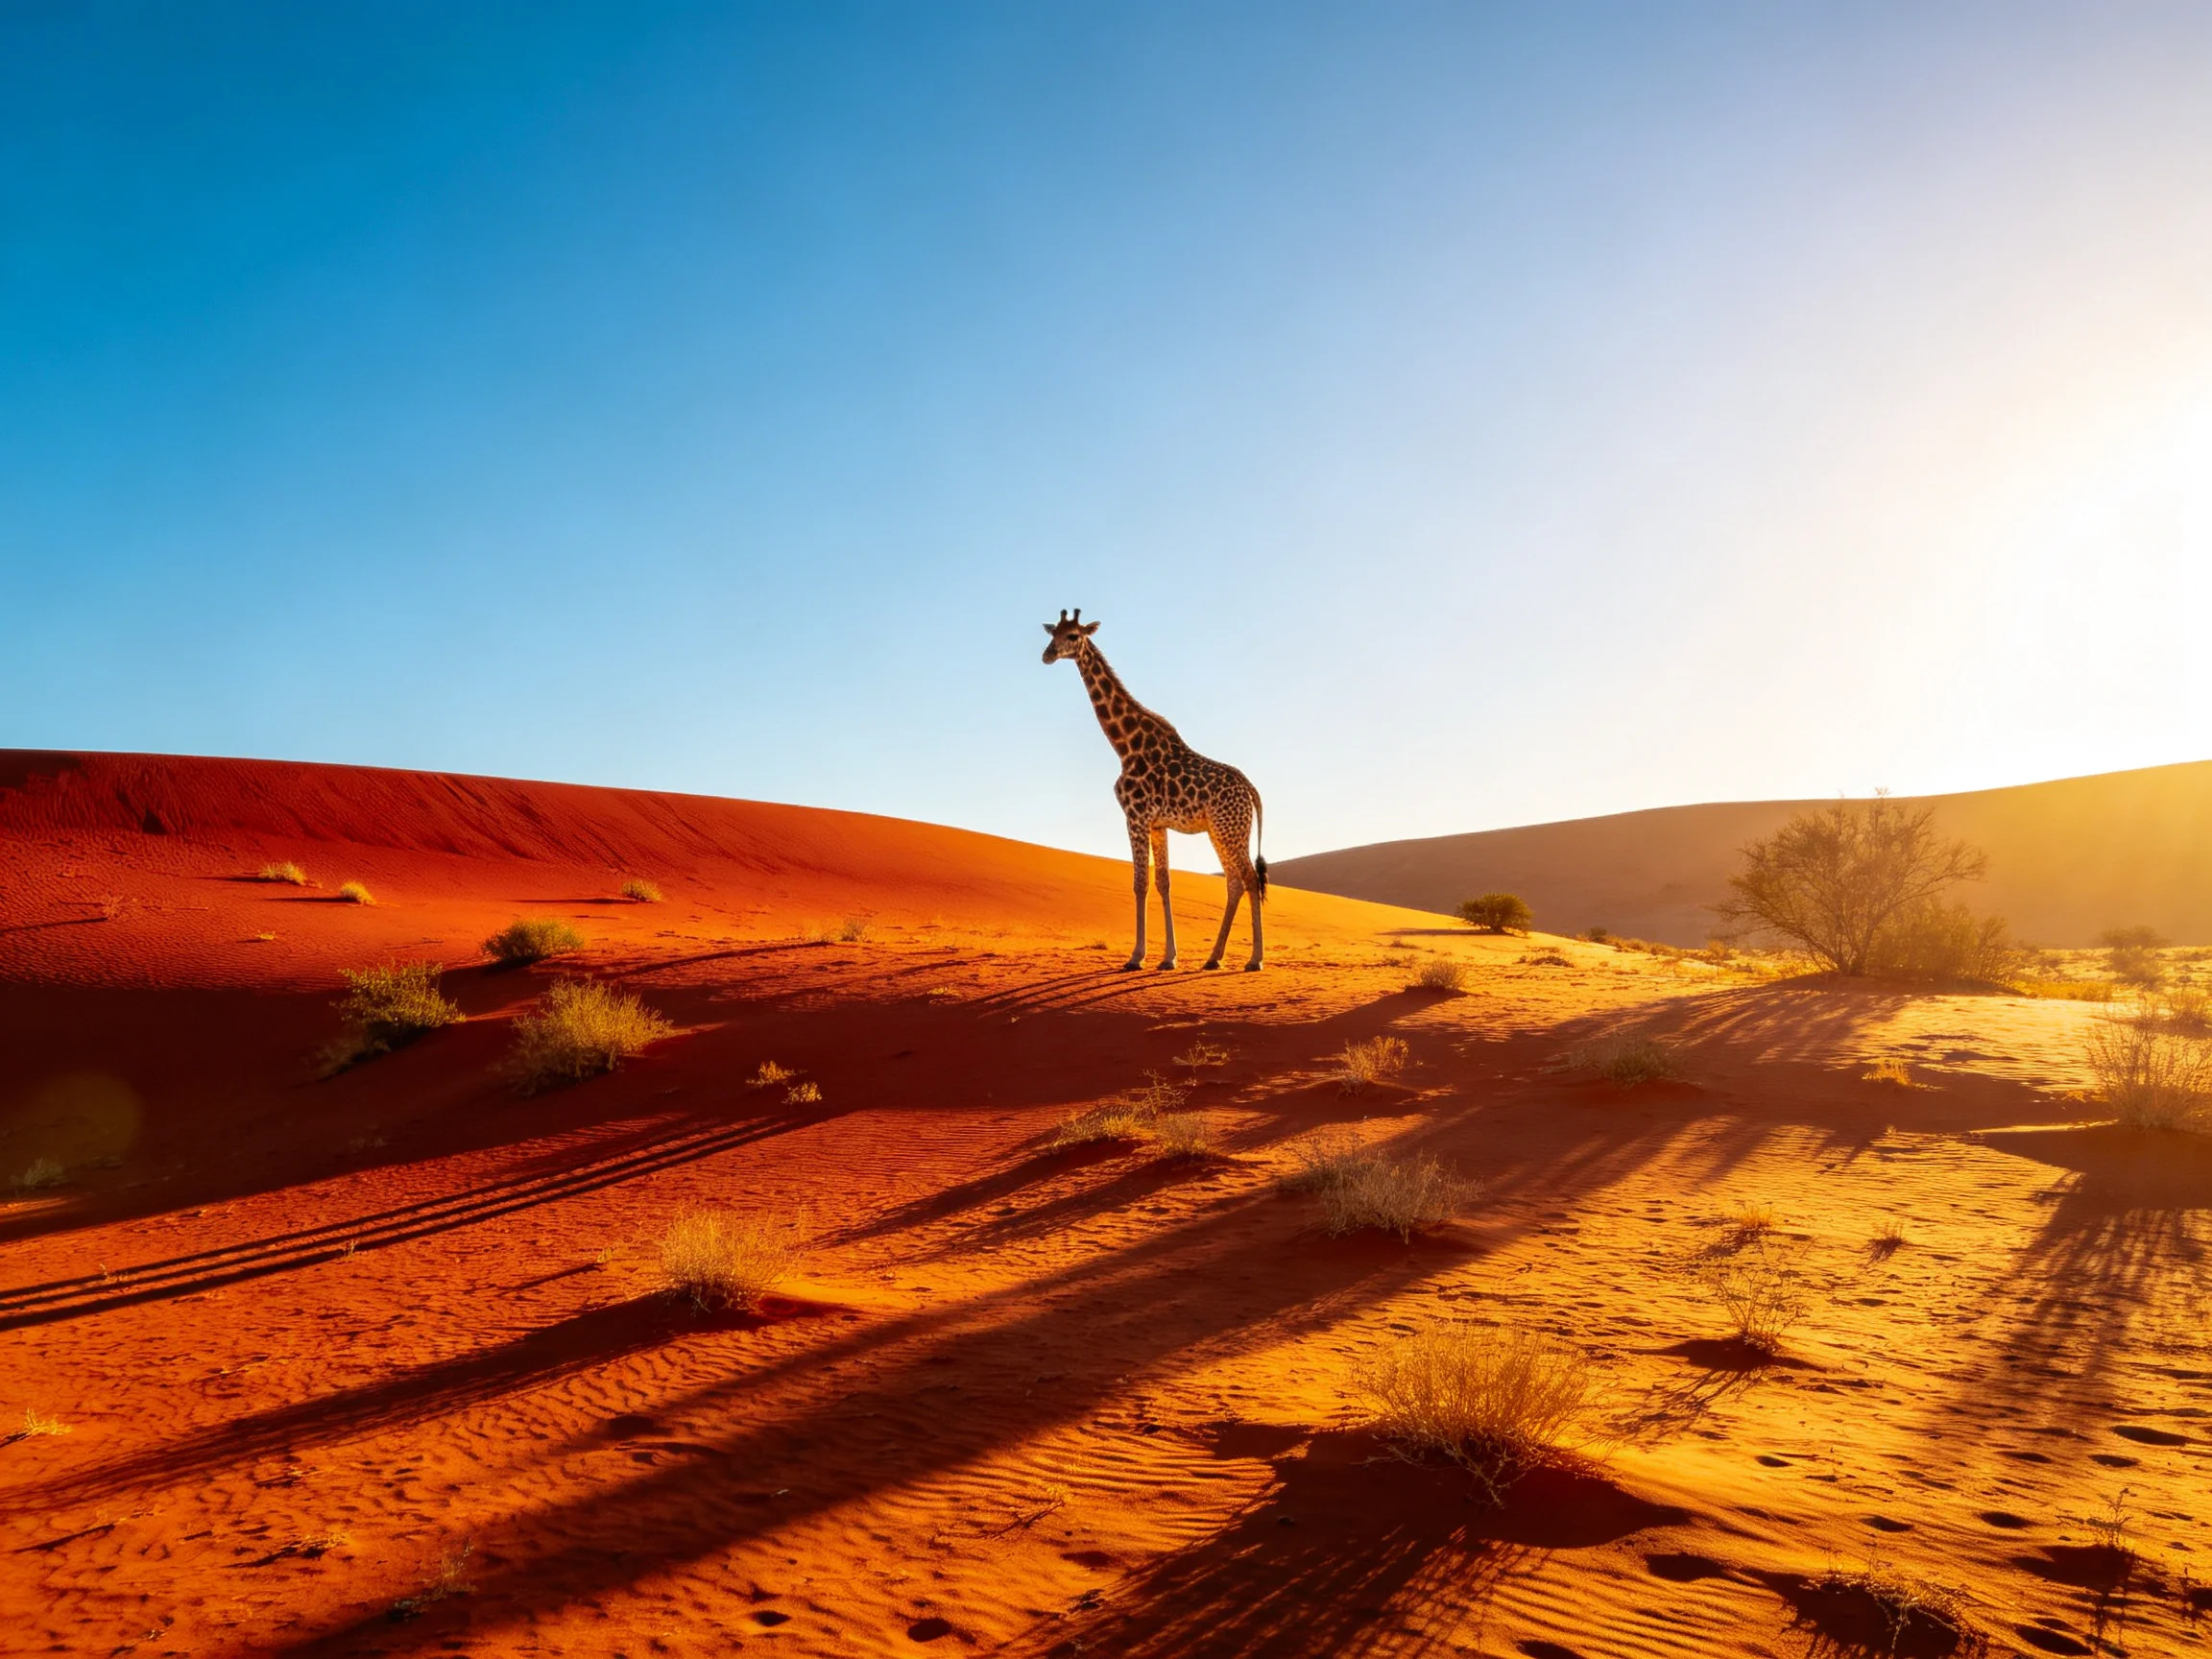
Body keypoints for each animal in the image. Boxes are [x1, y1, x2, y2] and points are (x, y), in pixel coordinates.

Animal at [1042, 609, 1267, 972]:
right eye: (1053, 633)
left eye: (1073, 635)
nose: (1047, 655)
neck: (1125, 746)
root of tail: (1251, 790)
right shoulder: (1158, 824)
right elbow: (1163, 882)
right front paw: (1168, 957)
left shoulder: (1135, 816)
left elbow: (1140, 883)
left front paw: (1137, 957)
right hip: (1222, 830)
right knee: (1234, 882)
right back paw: (1213, 958)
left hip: (1229, 829)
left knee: (1248, 878)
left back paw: (1255, 959)